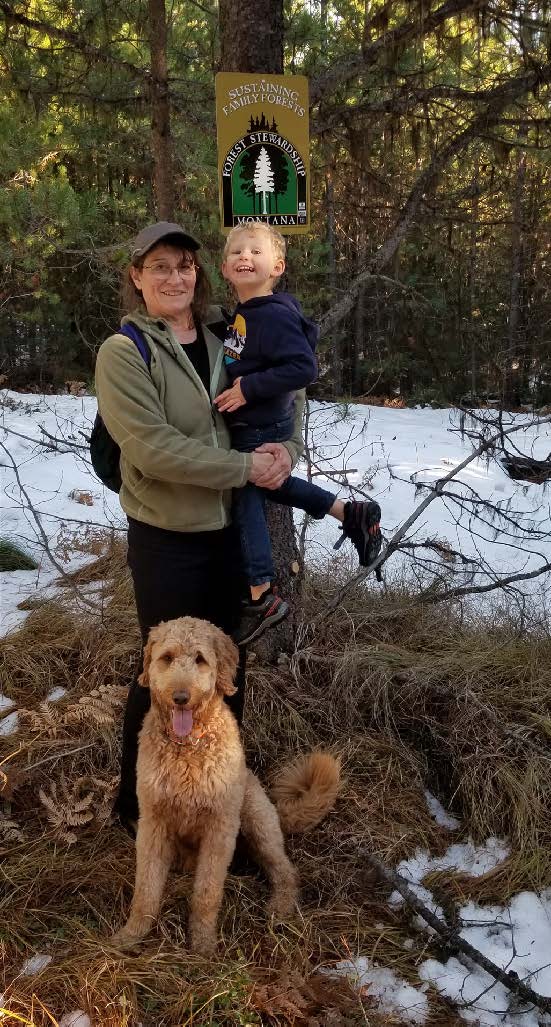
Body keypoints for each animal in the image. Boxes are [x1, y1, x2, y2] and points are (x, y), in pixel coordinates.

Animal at [109, 616, 336, 953]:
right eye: (167, 658)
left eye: (200, 659)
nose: (180, 697)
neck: (187, 749)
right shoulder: (153, 822)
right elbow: (146, 890)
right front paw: (131, 935)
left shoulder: (219, 828)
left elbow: (207, 894)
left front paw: (203, 945)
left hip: (256, 819)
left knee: (285, 871)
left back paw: (280, 906)